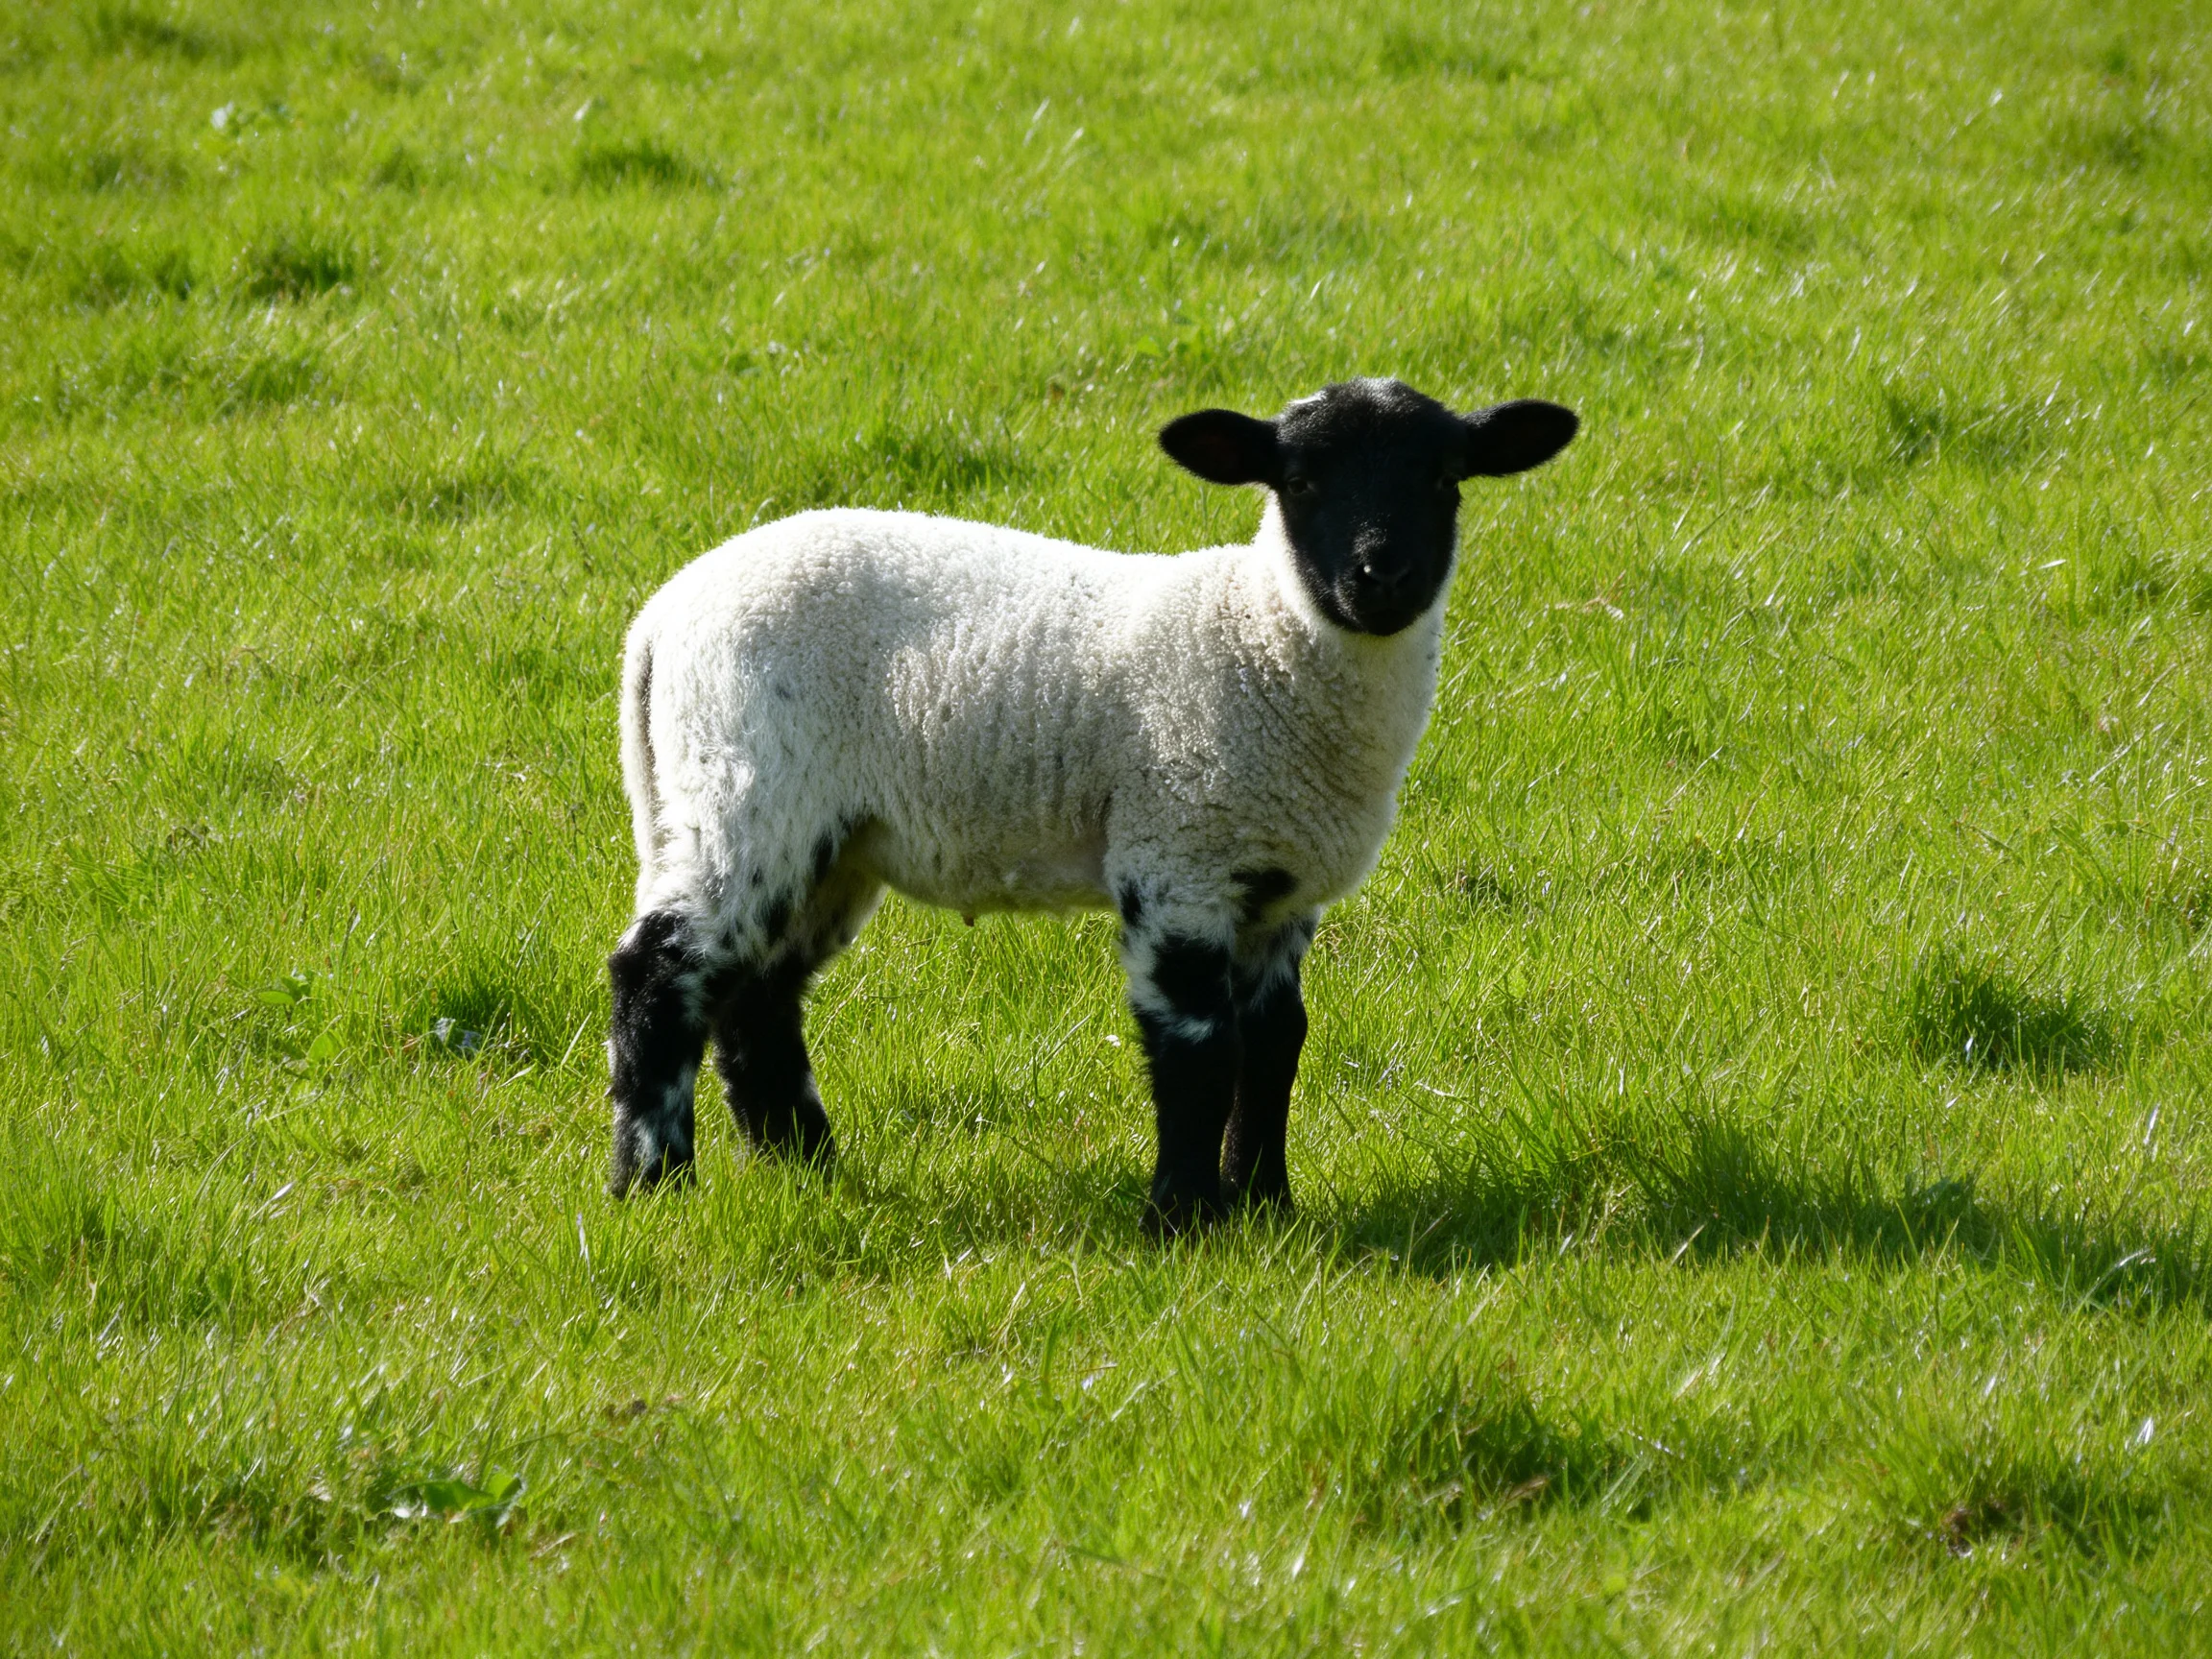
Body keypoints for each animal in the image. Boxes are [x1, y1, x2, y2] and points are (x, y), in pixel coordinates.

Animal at [606, 377, 1577, 1230]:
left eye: (1445, 478)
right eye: (1300, 482)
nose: (1382, 577)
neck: (1258, 641)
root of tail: (661, 617)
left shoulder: (1277, 888)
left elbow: (1276, 1045)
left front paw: (1268, 1205)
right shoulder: (1176, 856)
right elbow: (1199, 1051)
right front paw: (1184, 1220)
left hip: (829, 840)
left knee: (755, 999)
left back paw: (809, 1169)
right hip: (747, 789)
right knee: (658, 972)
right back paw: (653, 1183)